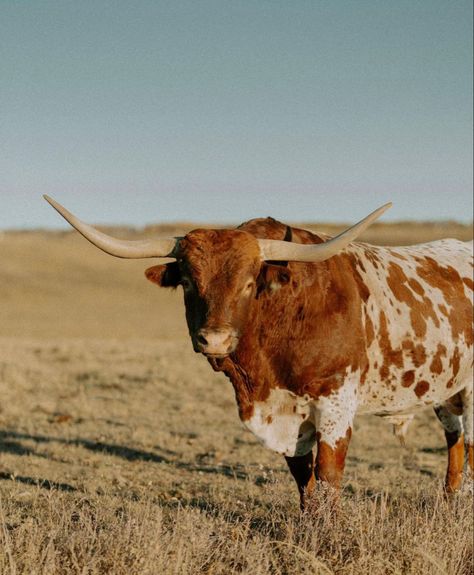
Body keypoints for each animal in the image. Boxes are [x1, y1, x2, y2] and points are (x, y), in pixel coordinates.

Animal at [43, 197, 470, 508]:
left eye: (249, 283)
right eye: (187, 281)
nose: (214, 340)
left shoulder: (335, 404)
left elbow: (328, 477)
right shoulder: (287, 414)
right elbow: (303, 477)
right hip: (447, 388)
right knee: (456, 437)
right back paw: (452, 501)